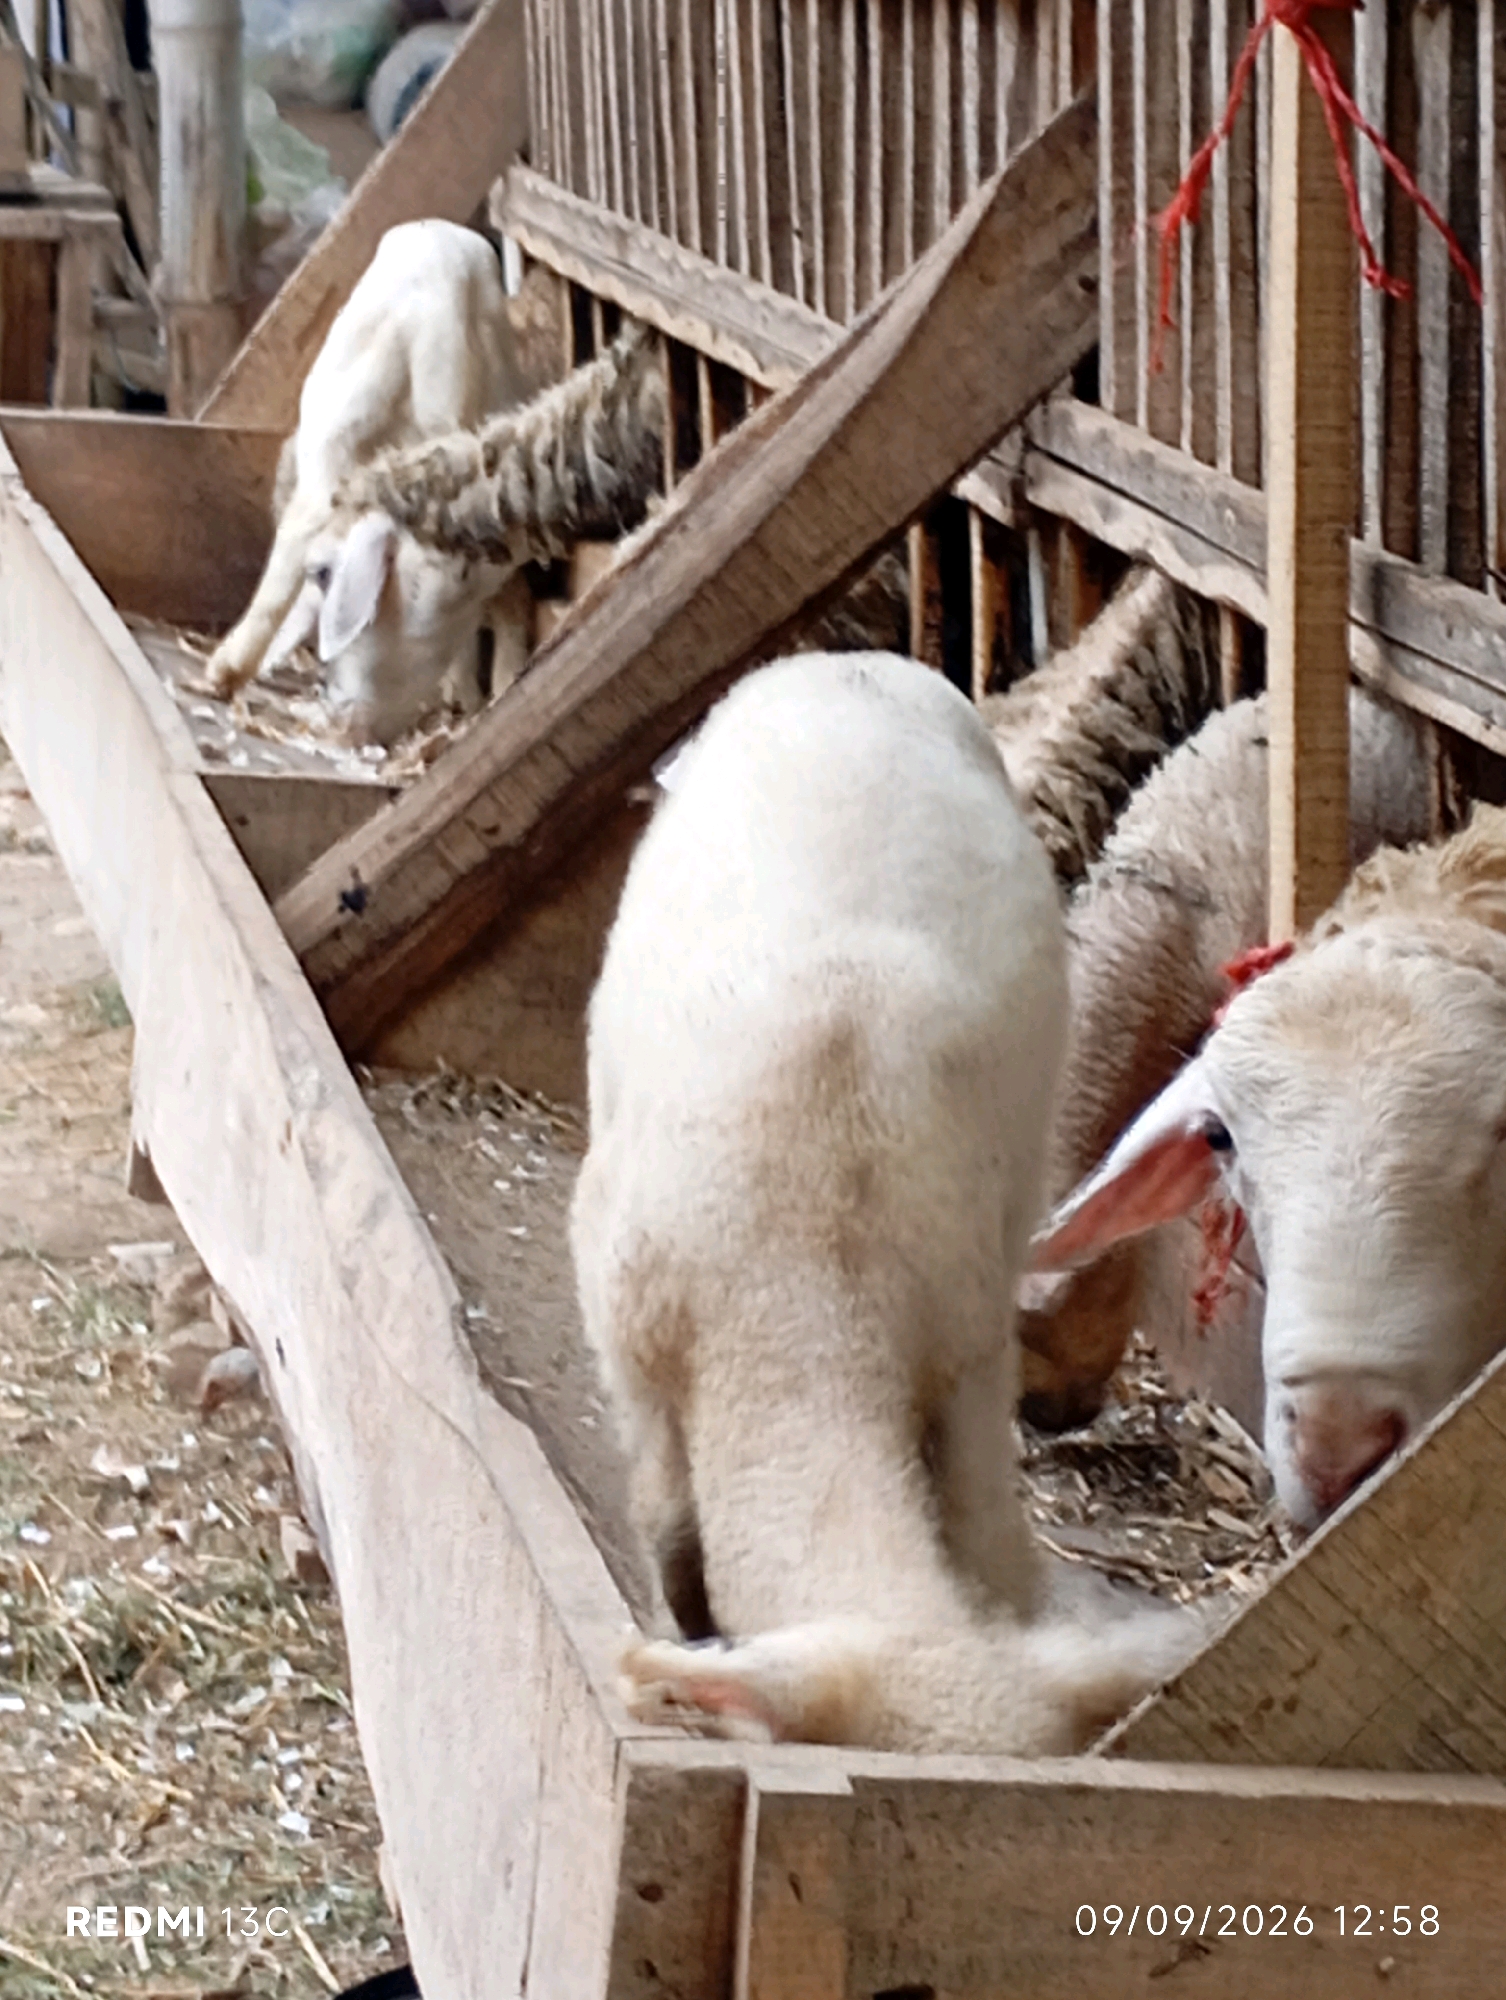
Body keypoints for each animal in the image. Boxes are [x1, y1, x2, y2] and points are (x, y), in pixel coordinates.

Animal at [570, 649, 1202, 1753]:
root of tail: (853, 661)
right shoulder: (630, 1338)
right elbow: (668, 1527)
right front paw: (679, 1629)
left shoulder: (970, 1342)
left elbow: (985, 1532)